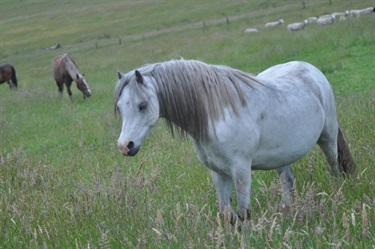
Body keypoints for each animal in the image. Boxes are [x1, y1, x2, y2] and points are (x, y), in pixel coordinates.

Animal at [114, 59, 358, 222]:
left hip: (327, 138)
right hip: (280, 157)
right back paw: (286, 212)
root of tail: (311, 70)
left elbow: (243, 213)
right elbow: (226, 214)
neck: (215, 115)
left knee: (335, 167)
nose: (125, 146)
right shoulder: (218, 172)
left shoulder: (240, 170)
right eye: (120, 108)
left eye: (142, 105)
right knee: (287, 180)